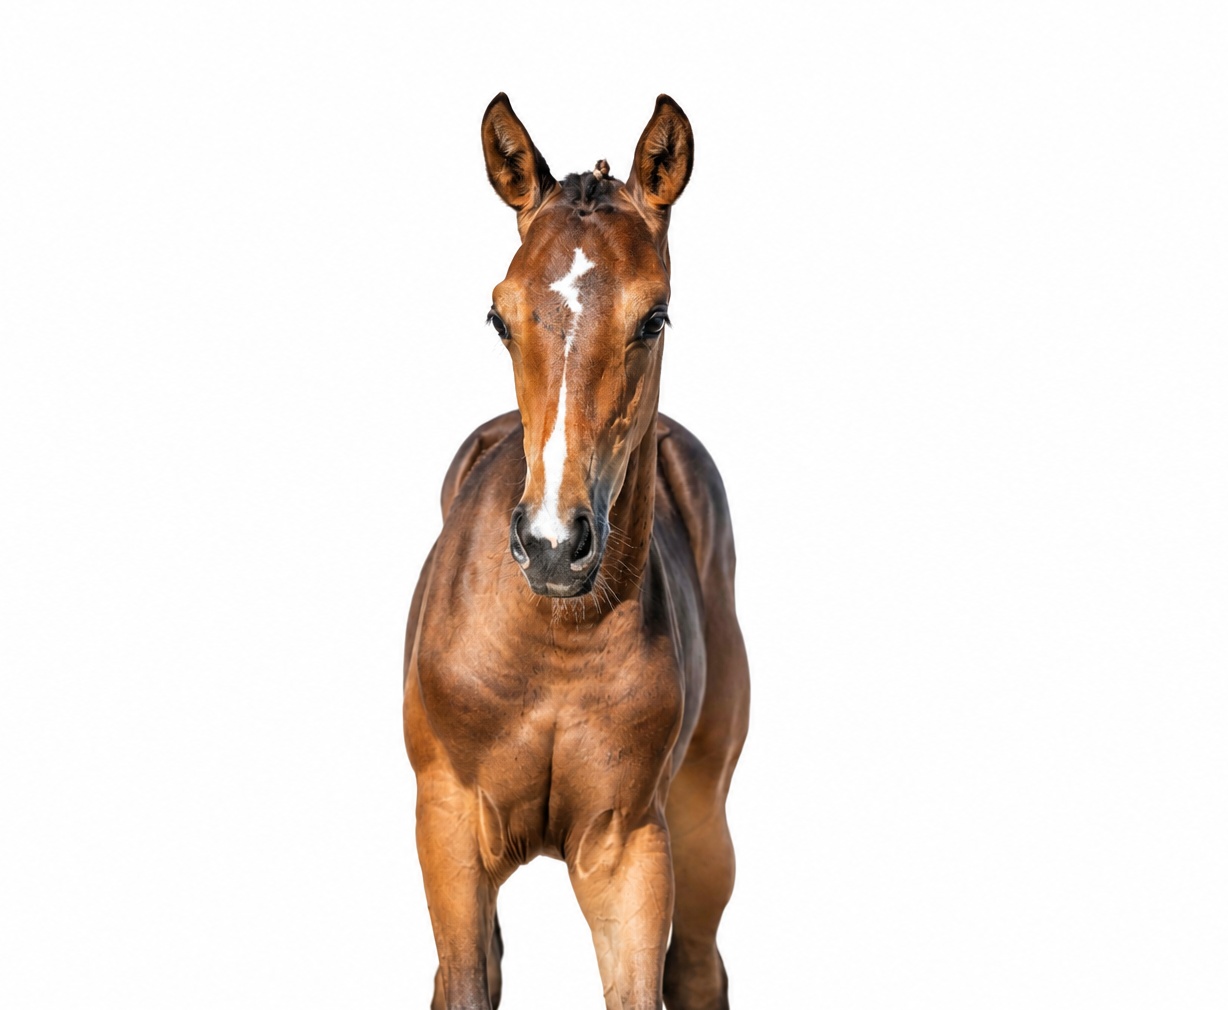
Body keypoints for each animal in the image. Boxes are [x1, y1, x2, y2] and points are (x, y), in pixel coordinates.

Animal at [403, 93, 750, 1010]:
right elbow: (464, 979)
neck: (556, 642)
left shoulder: (631, 852)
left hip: (704, 820)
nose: (555, 546)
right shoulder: (448, 826)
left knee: (699, 967)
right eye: (499, 314)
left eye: (653, 317)